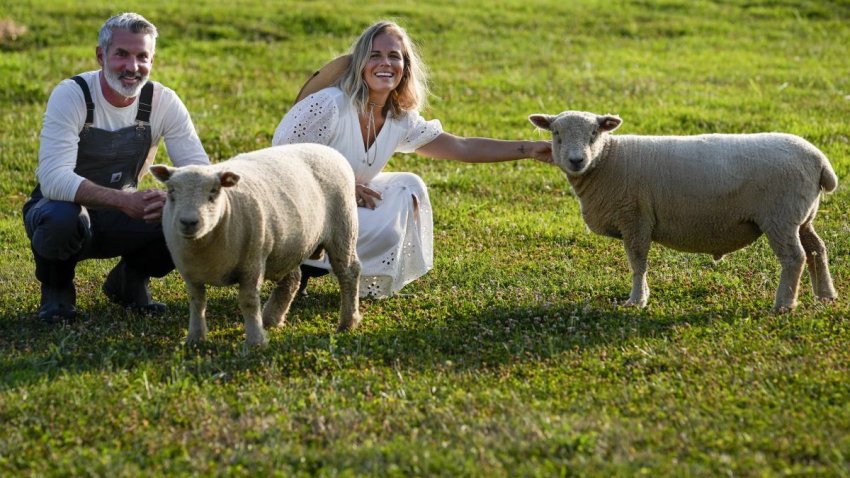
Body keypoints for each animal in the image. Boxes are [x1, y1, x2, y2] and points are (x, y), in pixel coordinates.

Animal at [151, 143, 360, 348]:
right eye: (171, 192)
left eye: (214, 191)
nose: (188, 222)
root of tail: (328, 149)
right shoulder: (190, 273)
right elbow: (197, 303)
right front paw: (195, 338)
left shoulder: (252, 264)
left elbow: (248, 302)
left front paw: (255, 342)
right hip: (288, 245)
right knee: (292, 278)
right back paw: (271, 319)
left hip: (343, 226)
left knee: (348, 272)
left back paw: (347, 322)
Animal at [528, 110, 836, 312]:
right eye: (556, 133)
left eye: (594, 133)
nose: (576, 160)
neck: (608, 159)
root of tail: (819, 160)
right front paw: (641, 297)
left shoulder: (635, 218)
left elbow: (637, 262)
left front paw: (637, 300)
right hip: (801, 217)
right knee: (816, 250)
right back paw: (825, 295)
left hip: (780, 217)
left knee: (794, 258)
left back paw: (784, 305)